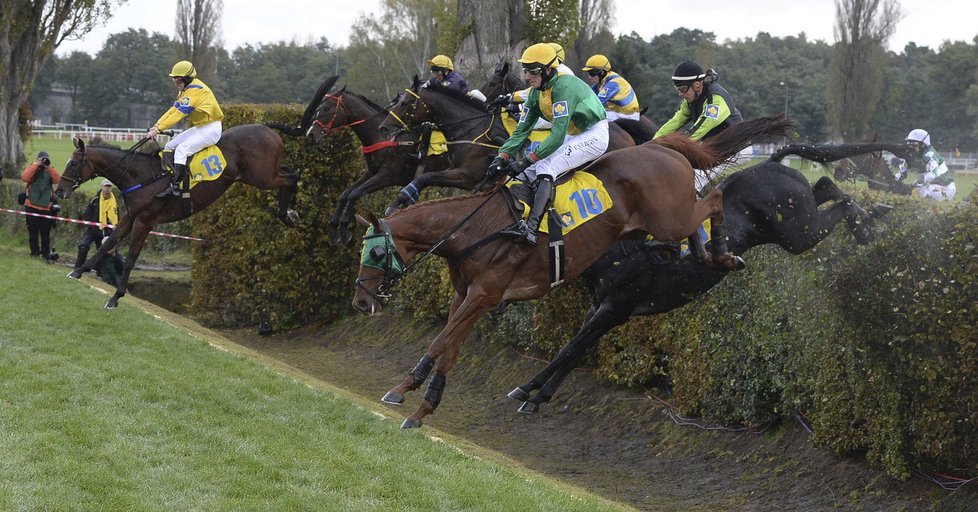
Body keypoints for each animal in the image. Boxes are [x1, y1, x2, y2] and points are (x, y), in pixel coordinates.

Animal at [53, 125, 296, 308]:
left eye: (73, 163)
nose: (59, 191)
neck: (140, 174)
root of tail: (267, 129)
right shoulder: (130, 217)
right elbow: (107, 244)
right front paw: (78, 271)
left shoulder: (145, 221)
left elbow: (131, 259)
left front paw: (116, 297)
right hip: (259, 175)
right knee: (289, 172)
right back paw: (290, 211)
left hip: (262, 176)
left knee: (292, 176)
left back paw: (287, 213)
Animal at [350, 115, 792, 428]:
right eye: (361, 252)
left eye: (376, 253)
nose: (359, 300)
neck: (475, 229)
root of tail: (662, 146)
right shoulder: (466, 295)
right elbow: (449, 347)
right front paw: (419, 402)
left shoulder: (485, 294)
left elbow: (442, 341)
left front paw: (406, 393)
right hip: (660, 227)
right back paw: (710, 256)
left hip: (670, 217)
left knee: (714, 197)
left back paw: (721, 253)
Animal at [376, 74, 640, 214]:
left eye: (406, 103)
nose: (384, 128)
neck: (472, 130)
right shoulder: (472, 181)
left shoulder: (466, 175)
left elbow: (424, 177)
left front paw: (400, 201)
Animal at [508, 142, 920, 414]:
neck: (619, 242)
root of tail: (772, 160)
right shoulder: (604, 309)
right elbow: (575, 349)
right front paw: (538, 394)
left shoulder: (617, 306)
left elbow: (569, 349)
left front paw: (527, 390)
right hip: (799, 218)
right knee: (825, 189)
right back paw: (872, 214)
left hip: (799, 232)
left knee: (839, 197)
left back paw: (869, 220)